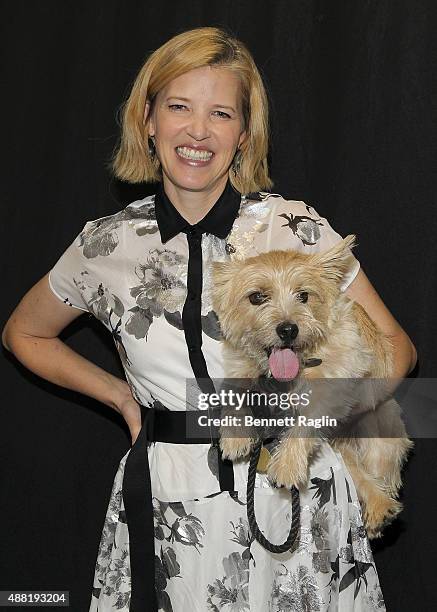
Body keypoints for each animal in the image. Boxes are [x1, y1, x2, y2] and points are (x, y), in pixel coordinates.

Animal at [212, 234, 412, 536]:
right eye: (257, 297)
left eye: (304, 295)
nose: (288, 329)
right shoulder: (241, 366)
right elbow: (233, 390)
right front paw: (235, 434)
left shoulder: (338, 380)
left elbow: (307, 420)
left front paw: (287, 463)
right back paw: (378, 509)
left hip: (379, 430)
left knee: (375, 471)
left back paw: (381, 508)